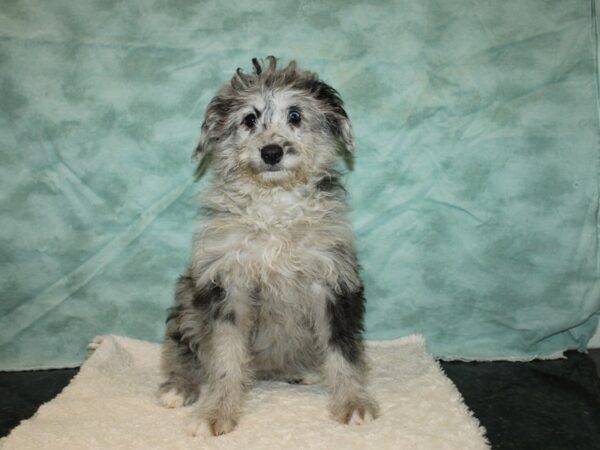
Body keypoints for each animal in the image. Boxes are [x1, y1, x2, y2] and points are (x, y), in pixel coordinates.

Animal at [157, 55, 378, 436]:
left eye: (296, 116)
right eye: (249, 119)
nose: (271, 152)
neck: (275, 208)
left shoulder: (333, 277)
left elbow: (342, 350)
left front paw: (353, 402)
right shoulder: (226, 282)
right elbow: (226, 355)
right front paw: (216, 411)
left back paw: (301, 370)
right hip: (187, 299)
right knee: (181, 346)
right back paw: (178, 386)